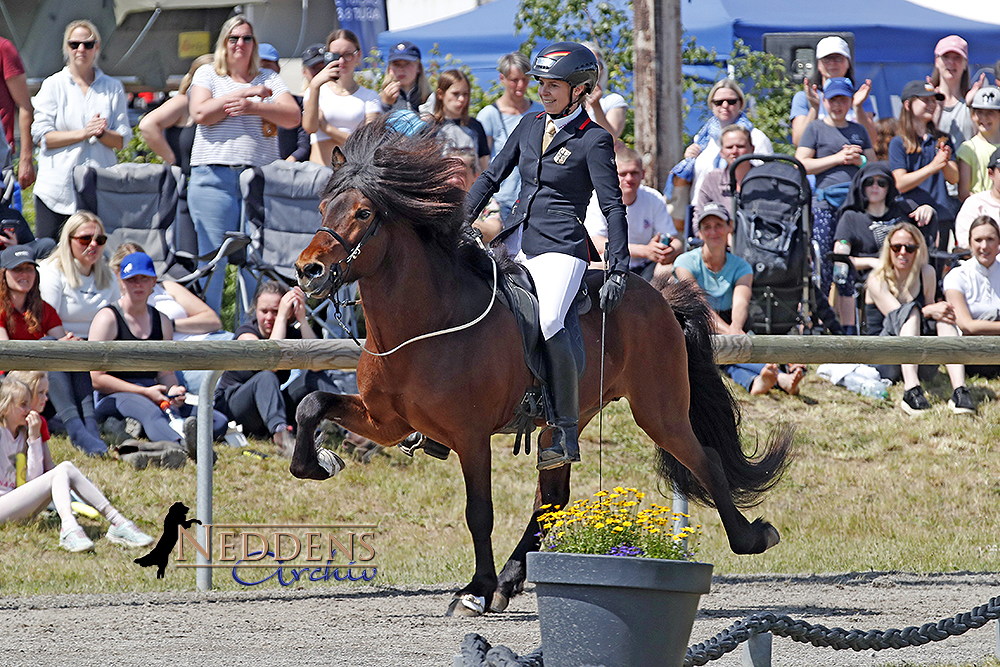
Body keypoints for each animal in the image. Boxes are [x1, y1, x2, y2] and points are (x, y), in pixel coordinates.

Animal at [292, 118, 792, 616]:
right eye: (322, 206)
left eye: (362, 214)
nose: (307, 271)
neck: (425, 325)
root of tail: (657, 294)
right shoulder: (387, 422)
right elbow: (310, 404)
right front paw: (320, 462)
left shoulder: (470, 436)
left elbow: (479, 513)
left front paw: (474, 590)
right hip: (568, 420)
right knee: (552, 498)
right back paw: (509, 581)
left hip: (659, 411)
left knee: (704, 459)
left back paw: (752, 537)